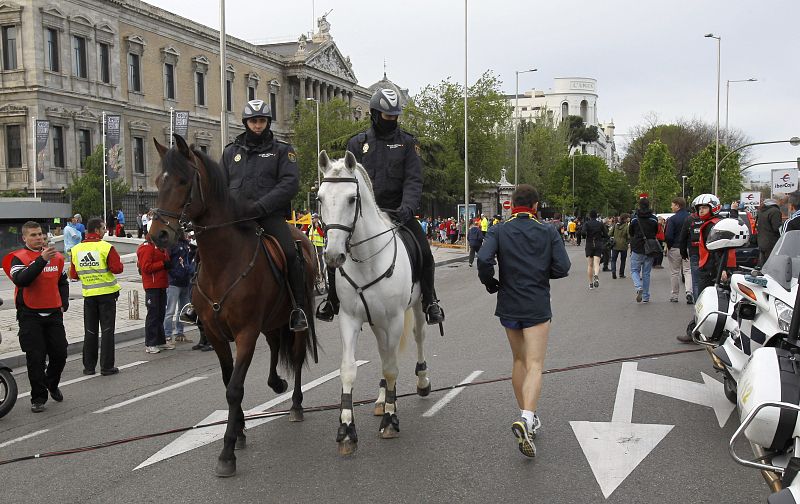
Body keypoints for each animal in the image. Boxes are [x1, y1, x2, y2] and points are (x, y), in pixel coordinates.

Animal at [148, 134, 318, 476]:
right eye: (159, 181)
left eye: (183, 181)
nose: (158, 235)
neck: (223, 262)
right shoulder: (215, 334)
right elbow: (228, 381)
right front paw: (238, 431)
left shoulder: (245, 333)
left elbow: (235, 389)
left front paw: (227, 451)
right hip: (272, 320)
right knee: (276, 345)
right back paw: (276, 382)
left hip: (296, 317)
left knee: (294, 353)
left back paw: (295, 404)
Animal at [318, 150, 432, 456]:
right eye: (319, 198)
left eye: (351, 199)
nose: (332, 256)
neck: (367, 260)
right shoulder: (349, 319)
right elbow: (349, 369)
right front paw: (346, 429)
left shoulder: (393, 320)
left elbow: (392, 367)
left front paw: (391, 420)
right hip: (377, 322)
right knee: (383, 353)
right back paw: (382, 399)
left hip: (416, 308)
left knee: (418, 338)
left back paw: (421, 381)